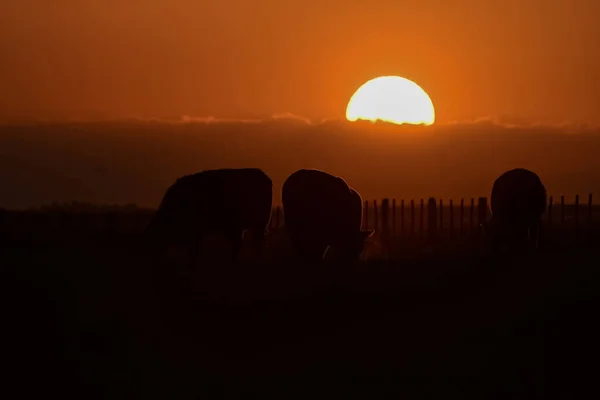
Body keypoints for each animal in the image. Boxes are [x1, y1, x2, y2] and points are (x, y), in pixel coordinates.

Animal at [146, 168, 274, 266]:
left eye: (153, 242)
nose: (153, 260)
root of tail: (265, 177)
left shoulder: (196, 231)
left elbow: (193, 251)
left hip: (256, 225)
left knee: (253, 244)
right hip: (241, 227)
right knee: (242, 244)